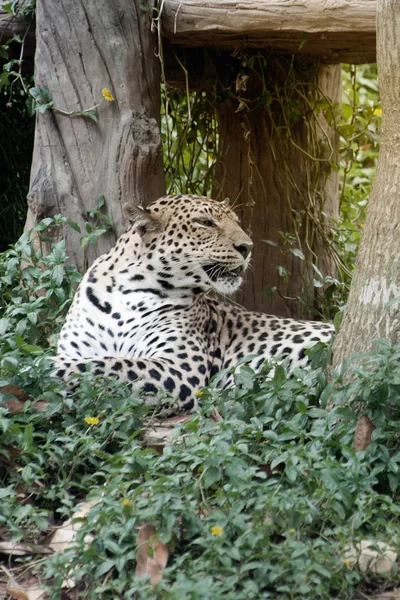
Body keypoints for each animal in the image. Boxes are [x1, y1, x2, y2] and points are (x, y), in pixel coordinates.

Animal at [54, 195, 332, 414]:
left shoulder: (180, 367)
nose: (248, 247)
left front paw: (45, 368)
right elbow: (94, 362)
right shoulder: (73, 349)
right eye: (205, 223)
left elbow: (108, 364)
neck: (126, 294)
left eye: (237, 222)